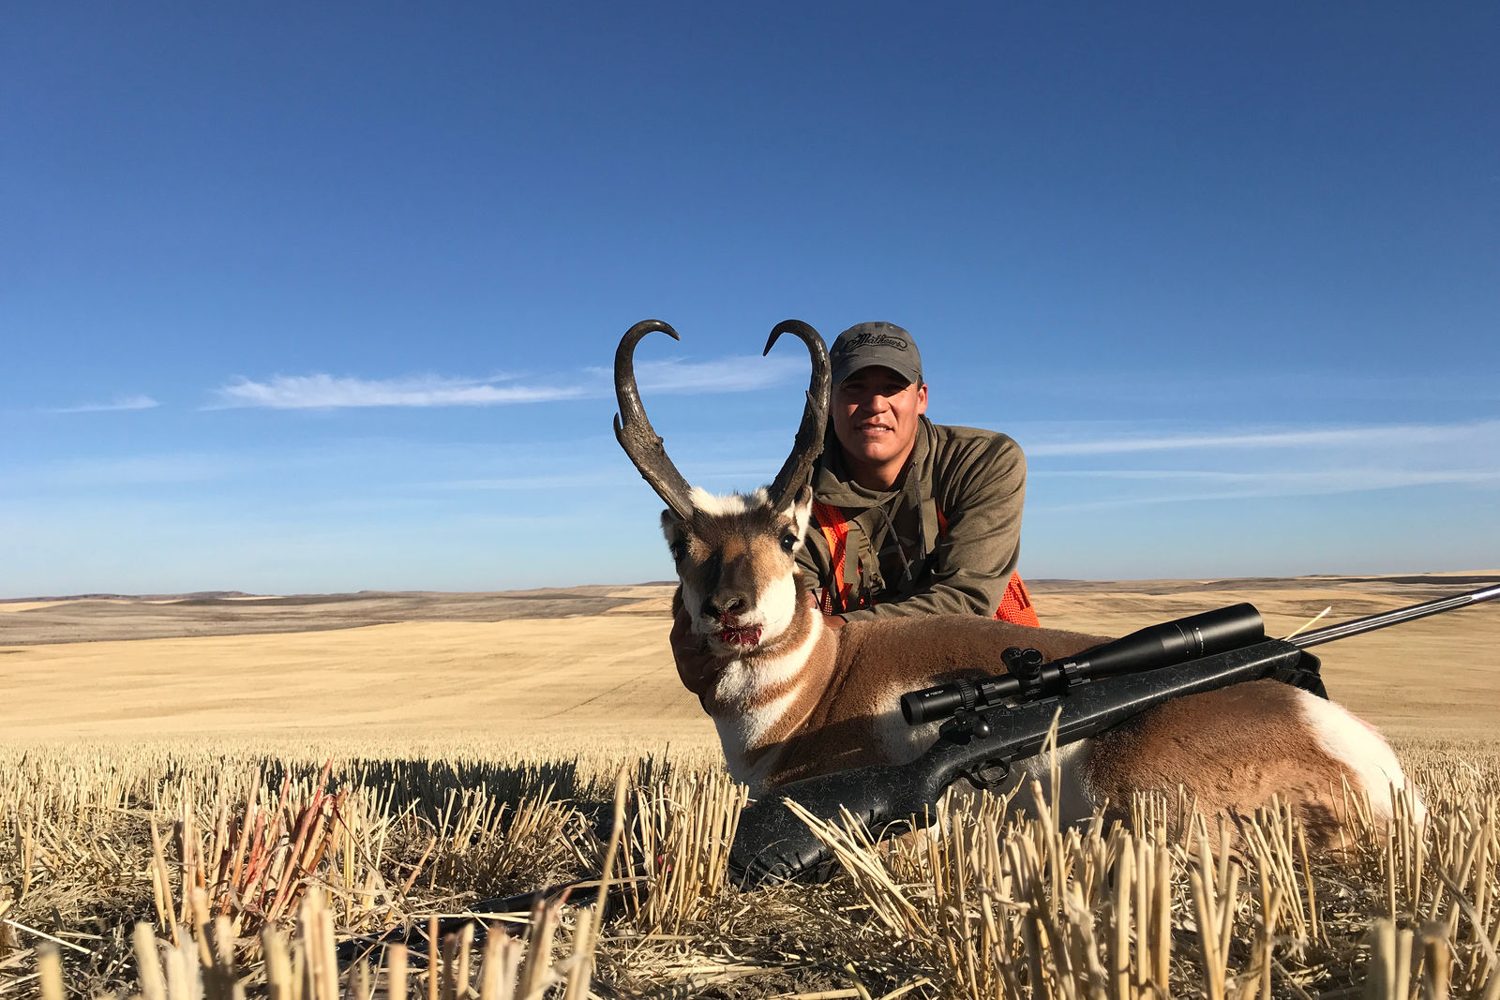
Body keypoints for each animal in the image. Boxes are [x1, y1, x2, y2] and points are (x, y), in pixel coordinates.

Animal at [614, 318, 1419, 842]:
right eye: (682, 545)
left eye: (785, 536)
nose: (730, 611)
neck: (819, 677)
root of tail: (1372, 763)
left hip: (1127, 793)